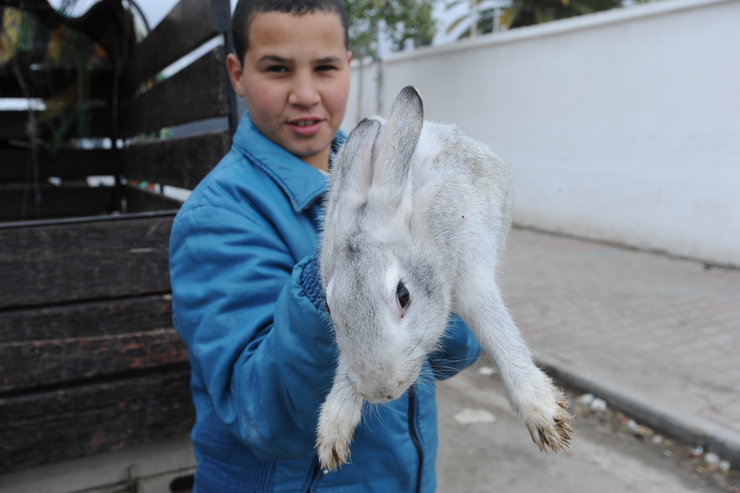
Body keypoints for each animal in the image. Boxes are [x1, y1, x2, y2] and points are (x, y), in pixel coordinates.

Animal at [316, 86, 572, 470]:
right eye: (331, 309)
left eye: (403, 295)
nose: (381, 391)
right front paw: (332, 433)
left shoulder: (472, 275)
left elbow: (498, 332)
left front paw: (544, 415)